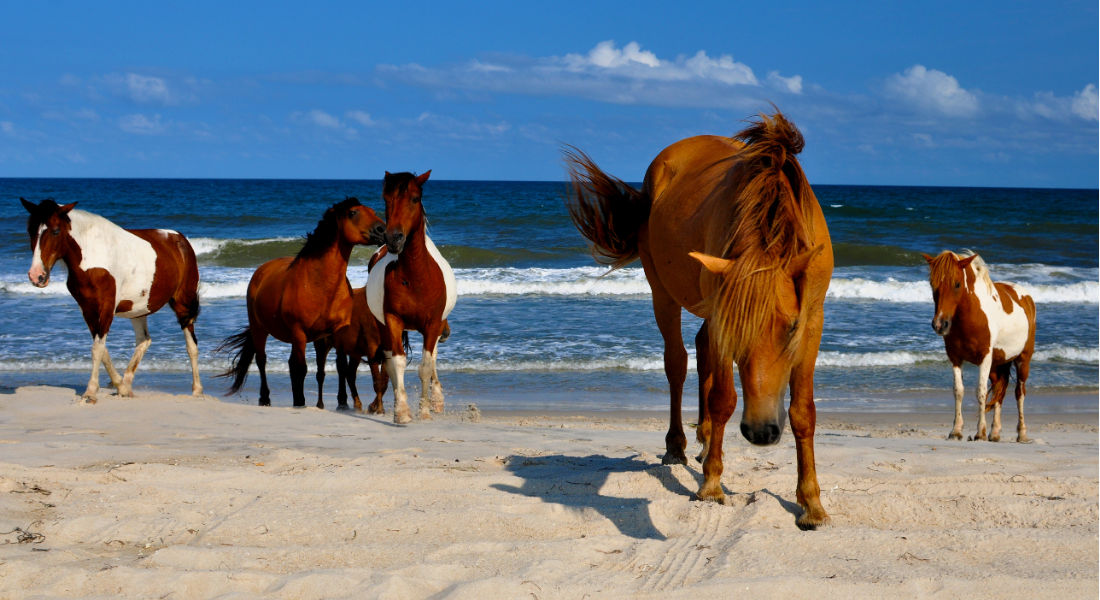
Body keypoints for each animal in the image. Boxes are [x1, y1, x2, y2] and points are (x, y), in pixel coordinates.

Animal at [20, 198, 204, 403]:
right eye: (30, 230)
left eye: (55, 230)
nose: (37, 276)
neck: (92, 256)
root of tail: (181, 239)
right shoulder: (88, 309)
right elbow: (102, 349)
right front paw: (119, 386)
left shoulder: (107, 307)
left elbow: (97, 349)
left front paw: (90, 392)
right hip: (137, 308)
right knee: (144, 340)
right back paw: (127, 385)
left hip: (183, 303)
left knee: (191, 345)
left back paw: (197, 390)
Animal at [218, 198, 386, 408]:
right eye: (353, 212)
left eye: (372, 210)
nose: (382, 229)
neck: (320, 283)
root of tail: (261, 271)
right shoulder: (299, 332)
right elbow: (302, 368)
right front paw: (301, 401)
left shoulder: (336, 331)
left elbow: (340, 366)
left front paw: (342, 402)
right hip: (260, 328)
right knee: (262, 360)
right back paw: (266, 398)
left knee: (291, 363)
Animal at [366, 170, 457, 424]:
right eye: (386, 199)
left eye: (415, 199)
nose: (393, 238)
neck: (416, 277)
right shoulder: (393, 320)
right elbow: (396, 362)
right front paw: (402, 412)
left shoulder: (433, 323)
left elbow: (426, 365)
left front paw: (424, 410)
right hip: (382, 326)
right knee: (389, 360)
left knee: (433, 357)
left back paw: (437, 400)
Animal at [565, 111, 833, 530]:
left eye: (791, 327)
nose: (761, 431)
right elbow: (722, 398)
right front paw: (711, 485)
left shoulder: (813, 320)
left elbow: (803, 412)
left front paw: (811, 504)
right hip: (662, 292)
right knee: (677, 363)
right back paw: (678, 446)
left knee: (703, 349)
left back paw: (706, 439)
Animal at [922, 250, 1036, 443]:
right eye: (932, 284)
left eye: (957, 284)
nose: (939, 325)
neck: (971, 316)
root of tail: (1026, 297)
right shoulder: (955, 357)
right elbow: (958, 391)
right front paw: (956, 430)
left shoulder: (985, 357)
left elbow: (981, 392)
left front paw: (980, 432)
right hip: (997, 364)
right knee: (1000, 391)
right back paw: (995, 433)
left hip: (1023, 359)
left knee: (1019, 393)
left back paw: (1021, 433)